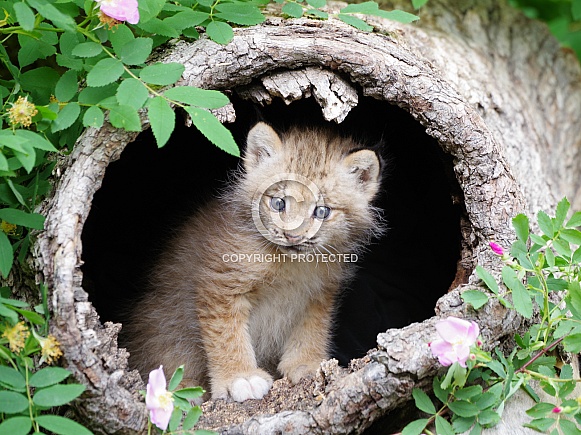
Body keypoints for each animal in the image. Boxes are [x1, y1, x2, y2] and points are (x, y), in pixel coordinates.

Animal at [125, 122, 380, 402]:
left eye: (321, 211)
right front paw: (240, 377)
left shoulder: (321, 292)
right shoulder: (220, 284)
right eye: (279, 203)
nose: (293, 237)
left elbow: (313, 328)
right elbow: (226, 334)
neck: (289, 262)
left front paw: (306, 364)